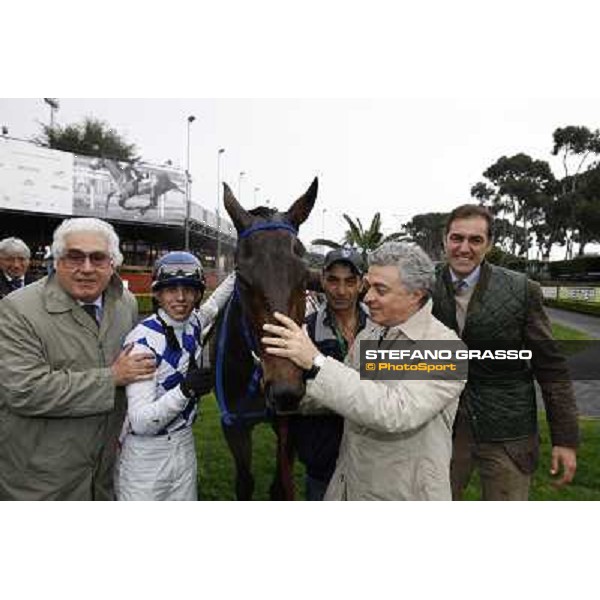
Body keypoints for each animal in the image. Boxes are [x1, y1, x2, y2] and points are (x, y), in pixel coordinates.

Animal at [214, 178, 318, 502]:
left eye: (305, 276)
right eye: (242, 278)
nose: (285, 390)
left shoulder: (290, 421)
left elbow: (280, 488)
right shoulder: (234, 423)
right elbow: (245, 483)